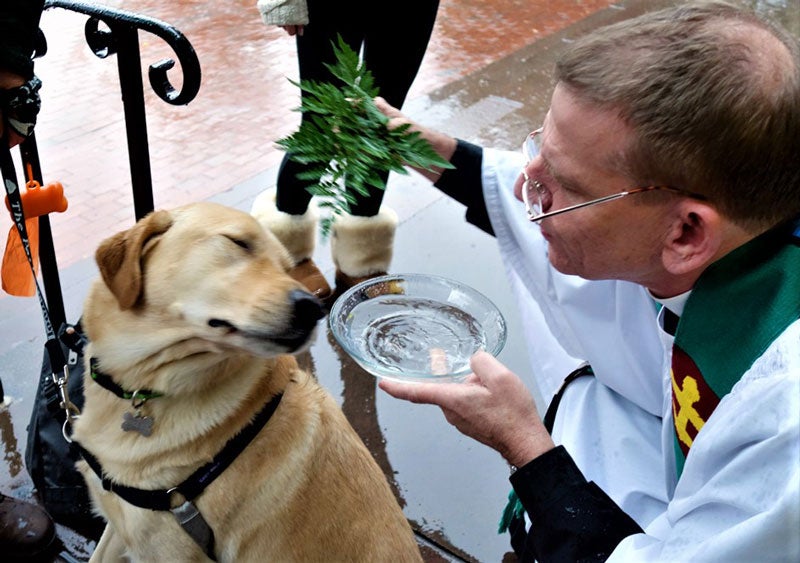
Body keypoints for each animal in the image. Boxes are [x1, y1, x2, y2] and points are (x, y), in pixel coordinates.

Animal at [73, 204, 424, 563]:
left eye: (287, 268)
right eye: (238, 242)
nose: (314, 308)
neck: (149, 384)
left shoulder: (168, 551)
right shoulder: (120, 527)